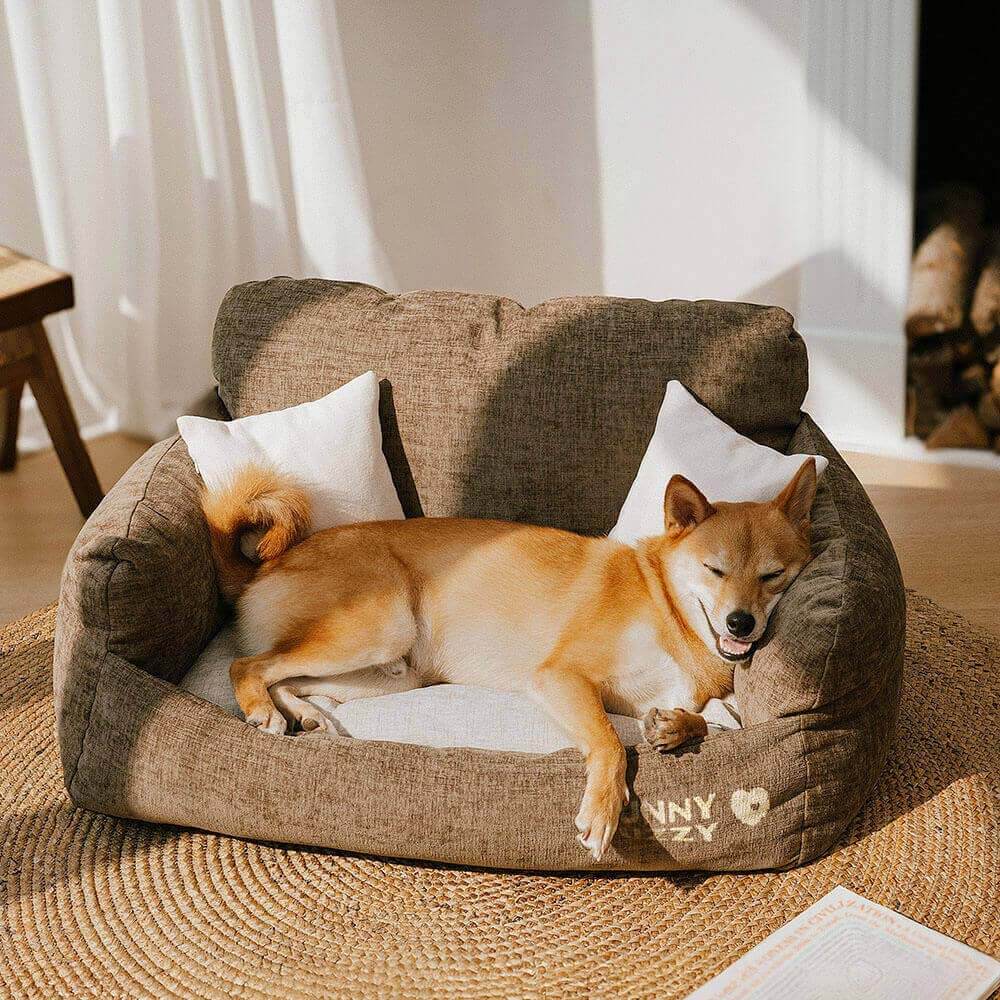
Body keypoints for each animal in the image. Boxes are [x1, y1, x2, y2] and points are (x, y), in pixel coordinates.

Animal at [201, 460, 812, 860]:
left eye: (772, 575)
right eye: (714, 570)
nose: (741, 624)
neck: (668, 607)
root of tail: (264, 567)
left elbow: (703, 720)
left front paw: (674, 727)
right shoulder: (561, 677)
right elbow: (610, 744)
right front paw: (602, 810)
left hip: (391, 673)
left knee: (288, 673)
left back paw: (306, 717)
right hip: (376, 628)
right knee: (248, 665)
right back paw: (264, 711)